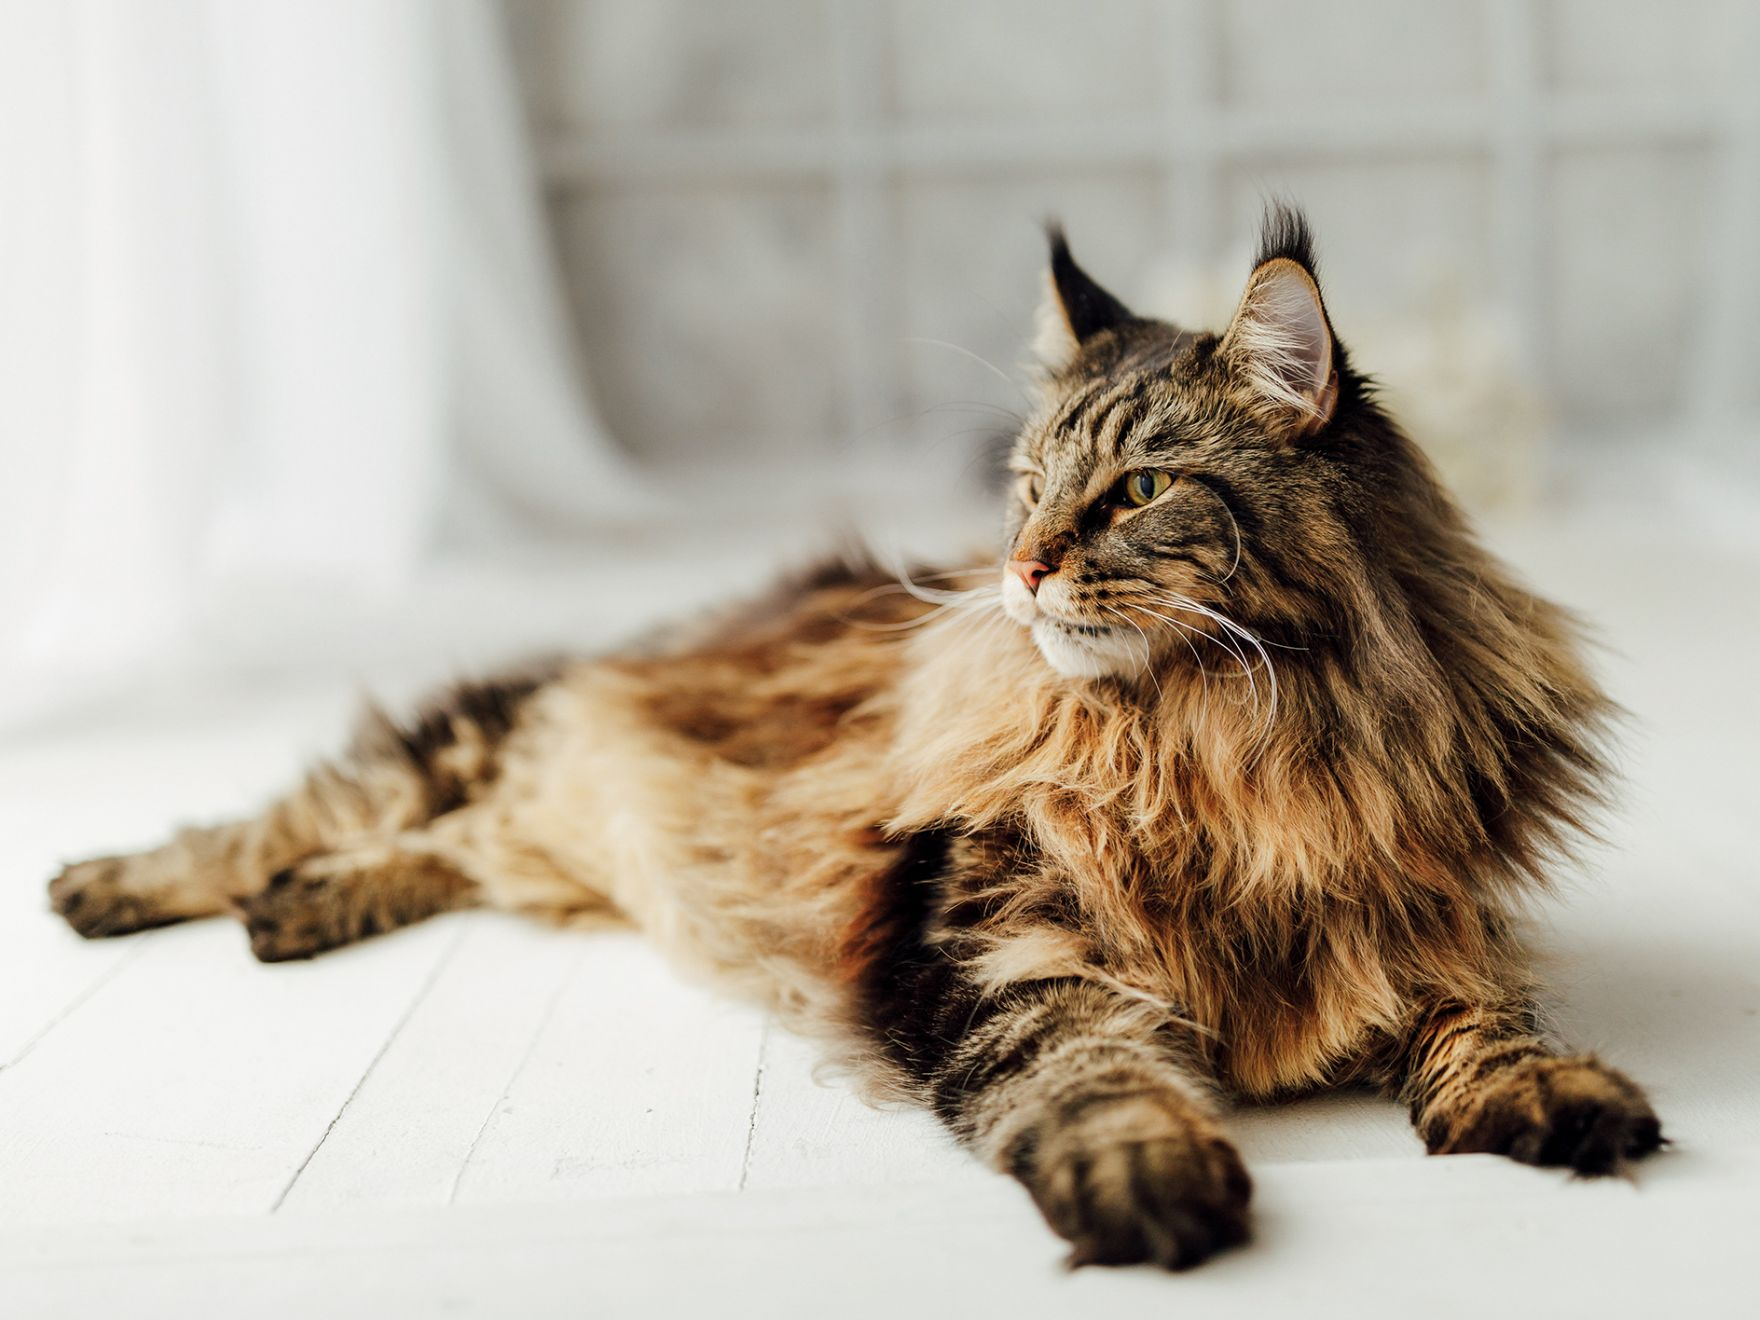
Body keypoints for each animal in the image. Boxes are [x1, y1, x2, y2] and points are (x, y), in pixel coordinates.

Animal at [48, 209, 1654, 1274]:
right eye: (1026, 484)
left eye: (1138, 491)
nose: (1019, 567)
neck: (1227, 747)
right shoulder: (988, 940)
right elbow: (1084, 1073)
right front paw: (1147, 1179)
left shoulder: (1409, 920)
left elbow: (1487, 1026)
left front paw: (1554, 1097)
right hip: (483, 734)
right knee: (289, 818)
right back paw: (118, 886)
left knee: (443, 851)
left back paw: (296, 914)